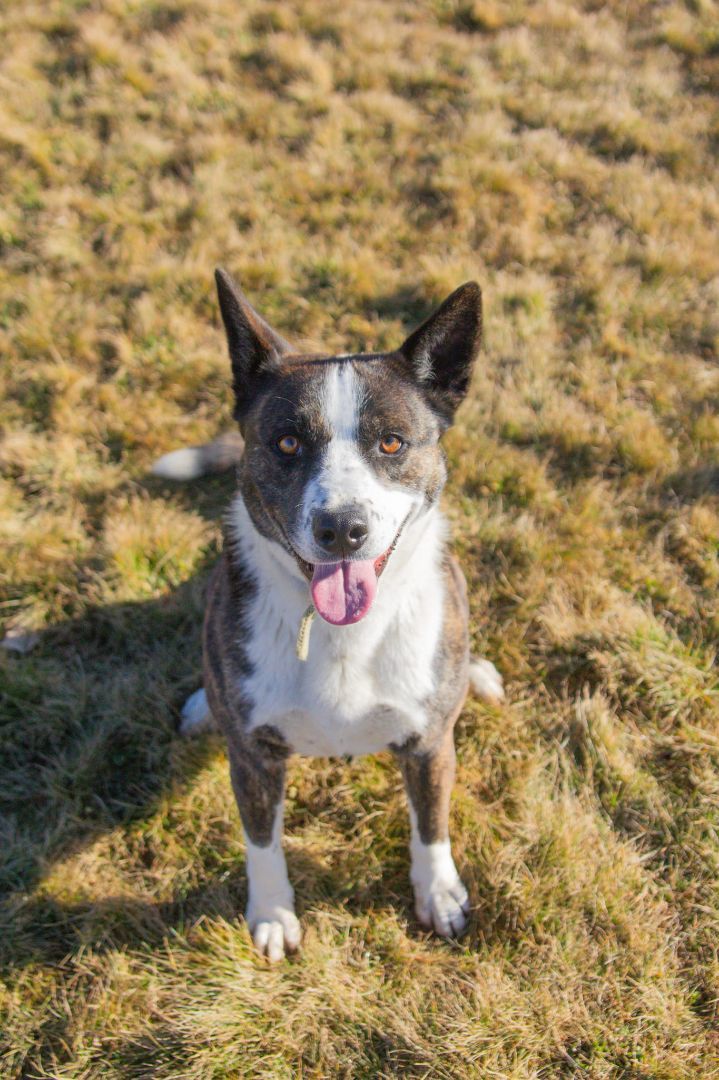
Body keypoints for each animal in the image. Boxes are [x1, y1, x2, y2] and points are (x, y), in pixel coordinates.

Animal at [153, 272, 500, 963]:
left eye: (392, 442)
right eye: (287, 443)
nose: (342, 528)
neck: (344, 635)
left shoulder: (430, 746)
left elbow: (432, 824)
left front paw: (439, 893)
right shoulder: (254, 760)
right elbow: (261, 841)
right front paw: (271, 914)